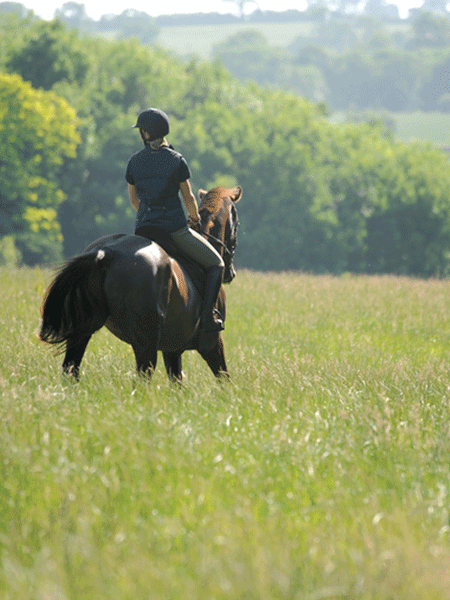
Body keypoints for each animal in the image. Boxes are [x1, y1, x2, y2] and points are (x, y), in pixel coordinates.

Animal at [39, 184, 243, 380]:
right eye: (237, 223)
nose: (231, 273)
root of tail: (107, 252)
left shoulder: (172, 349)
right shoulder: (211, 343)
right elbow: (224, 379)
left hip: (83, 331)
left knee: (71, 368)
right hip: (146, 342)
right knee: (143, 378)